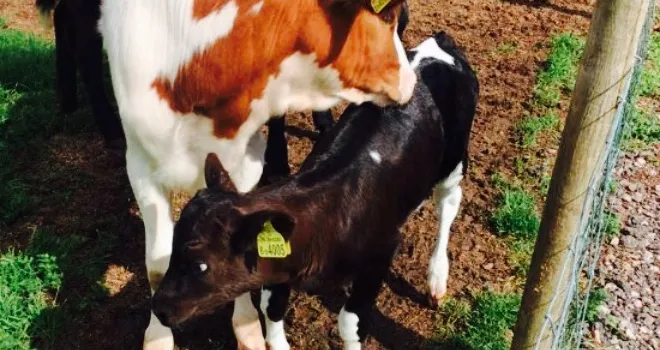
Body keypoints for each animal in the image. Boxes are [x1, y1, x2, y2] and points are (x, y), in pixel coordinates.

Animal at [98, 0, 416, 348]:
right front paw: (158, 337)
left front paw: (247, 326)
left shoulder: (244, 157)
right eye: (387, 14)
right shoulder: (140, 159)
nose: (410, 80)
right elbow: (157, 263)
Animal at [152, 31, 476, 348]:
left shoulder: (381, 254)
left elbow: (351, 323)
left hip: (454, 160)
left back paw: (437, 278)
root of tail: (436, 44)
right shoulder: (277, 265)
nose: (159, 308)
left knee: (448, 204)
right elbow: (272, 306)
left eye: (201, 265)